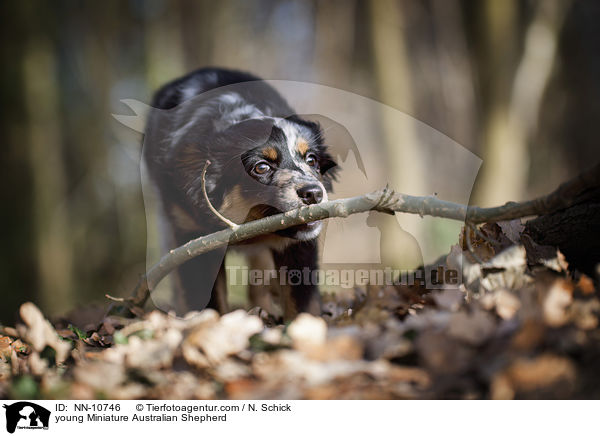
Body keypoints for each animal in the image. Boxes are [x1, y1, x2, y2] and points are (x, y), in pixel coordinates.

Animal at [142, 68, 336, 318]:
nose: (313, 194)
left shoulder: (297, 246)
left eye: (312, 160)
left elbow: (301, 302)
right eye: (261, 167)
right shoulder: (193, 239)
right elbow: (209, 302)